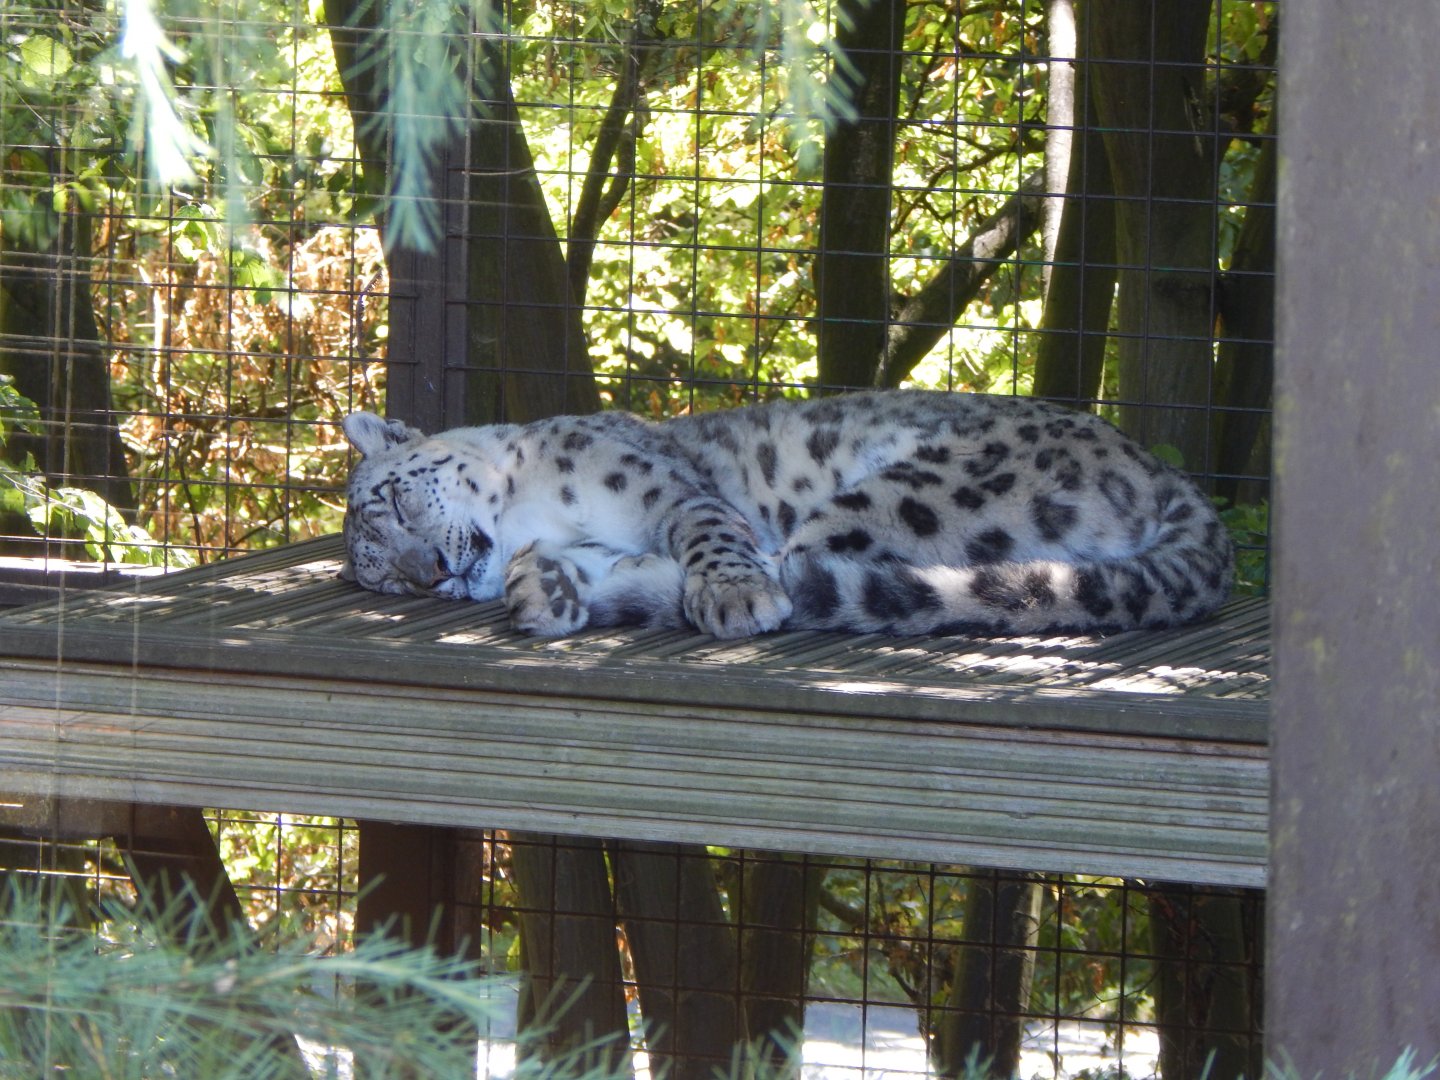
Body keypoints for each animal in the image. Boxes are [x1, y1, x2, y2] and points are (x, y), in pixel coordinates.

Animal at [340, 390, 1233, 640]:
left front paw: (732, 596)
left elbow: (707, 535)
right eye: (385, 582)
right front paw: (545, 585)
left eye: (397, 499)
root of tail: (1160, 469)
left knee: (805, 565)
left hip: (910, 490)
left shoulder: (669, 491)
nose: (434, 573)